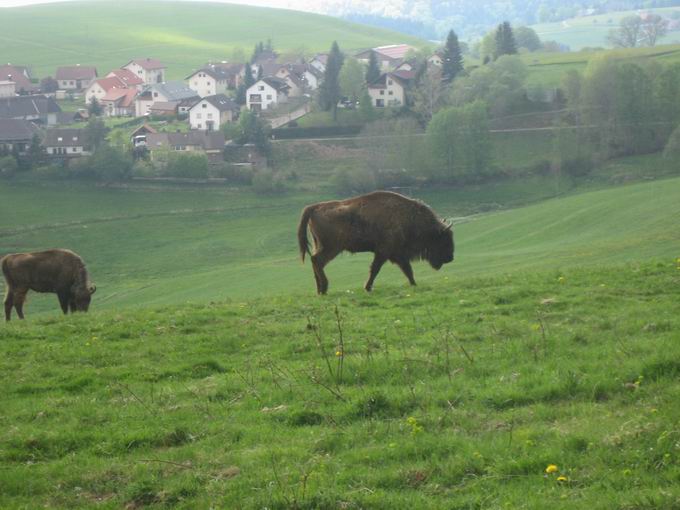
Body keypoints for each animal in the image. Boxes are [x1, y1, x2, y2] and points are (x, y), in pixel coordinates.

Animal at [296, 191, 452, 294]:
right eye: (443, 240)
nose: (450, 258)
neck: (408, 217)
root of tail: (315, 207)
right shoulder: (384, 252)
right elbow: (375, 269)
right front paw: (367, 287)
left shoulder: (397, 254)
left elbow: (407, 270)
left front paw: (414, 284)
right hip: (332, 248)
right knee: (317, 261)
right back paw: (324, 288)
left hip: (319, 245)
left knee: (315, 261)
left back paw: (319, 290)